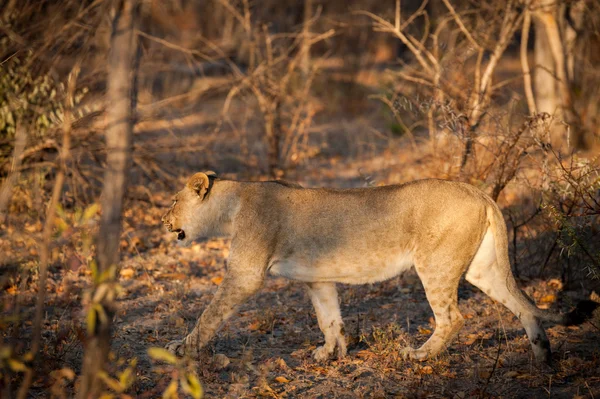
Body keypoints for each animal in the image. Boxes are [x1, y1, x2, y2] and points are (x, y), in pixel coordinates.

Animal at [162, 170, 596, 364]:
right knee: (524, 306)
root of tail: (478, 192)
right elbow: (328, 318)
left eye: (172, 202)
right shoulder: (319, 279)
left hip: (434, 264)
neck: (231, 205)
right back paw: (542, 359)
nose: (163, 221)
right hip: (482, 269)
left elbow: (209, 314)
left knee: (453, 318)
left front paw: (181, 348)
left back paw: (419, 355)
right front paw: (330, 353)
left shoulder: (246, 274)